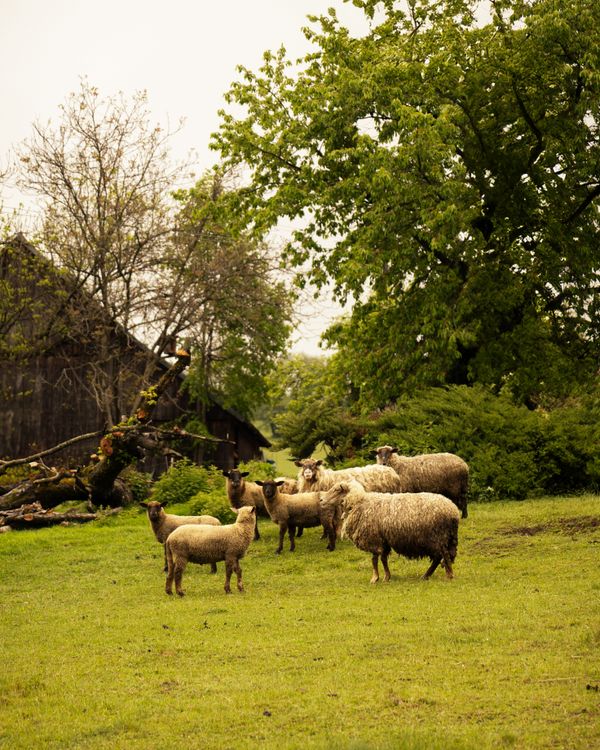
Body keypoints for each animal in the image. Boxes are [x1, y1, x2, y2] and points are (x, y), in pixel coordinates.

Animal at [320, 481, 460, 583]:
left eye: (336, 490)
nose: (321, 500)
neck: (359, 503)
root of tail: (453, 511)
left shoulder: (374, 538)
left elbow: (375, 560)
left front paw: (376, 578)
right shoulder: (382, 539)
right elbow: (382, 559)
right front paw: (385, 576)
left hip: (436, 537)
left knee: (443, 555)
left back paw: (449, 575)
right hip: (442, 538)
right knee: (439, 557)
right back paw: (427, 575)